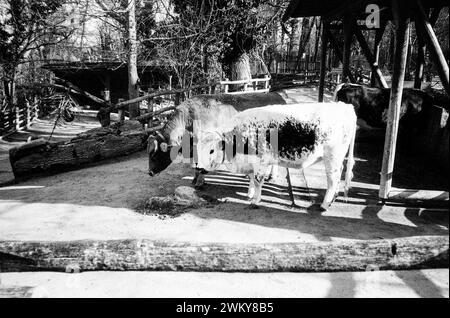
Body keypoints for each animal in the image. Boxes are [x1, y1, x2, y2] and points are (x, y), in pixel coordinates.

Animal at [195, 102, 356, 211]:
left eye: (211, 151)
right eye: (197, 149)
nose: (199, 168)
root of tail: (344, 106)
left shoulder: (261, 162)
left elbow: (258, 180)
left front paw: (255, 200)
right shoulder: (251, 163)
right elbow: (251, 178)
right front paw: (250, 194)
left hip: (332, 157)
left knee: (333, 179)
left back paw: (325, 204)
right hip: (337, 159)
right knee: (339, 173)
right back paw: (333, 198)